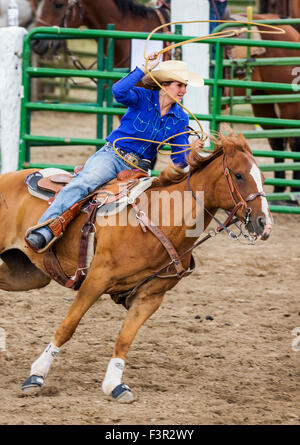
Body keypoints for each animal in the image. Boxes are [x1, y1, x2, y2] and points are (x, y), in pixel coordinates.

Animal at [0, 134, 272, 400]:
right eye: (239, 175)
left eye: (263, 178)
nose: (265, 224)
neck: (161, 218)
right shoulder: (95, 280)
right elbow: (67, 327)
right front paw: (36, 376)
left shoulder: (150, 297)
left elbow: (124, 339)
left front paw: (115, 385)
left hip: (27, 274)